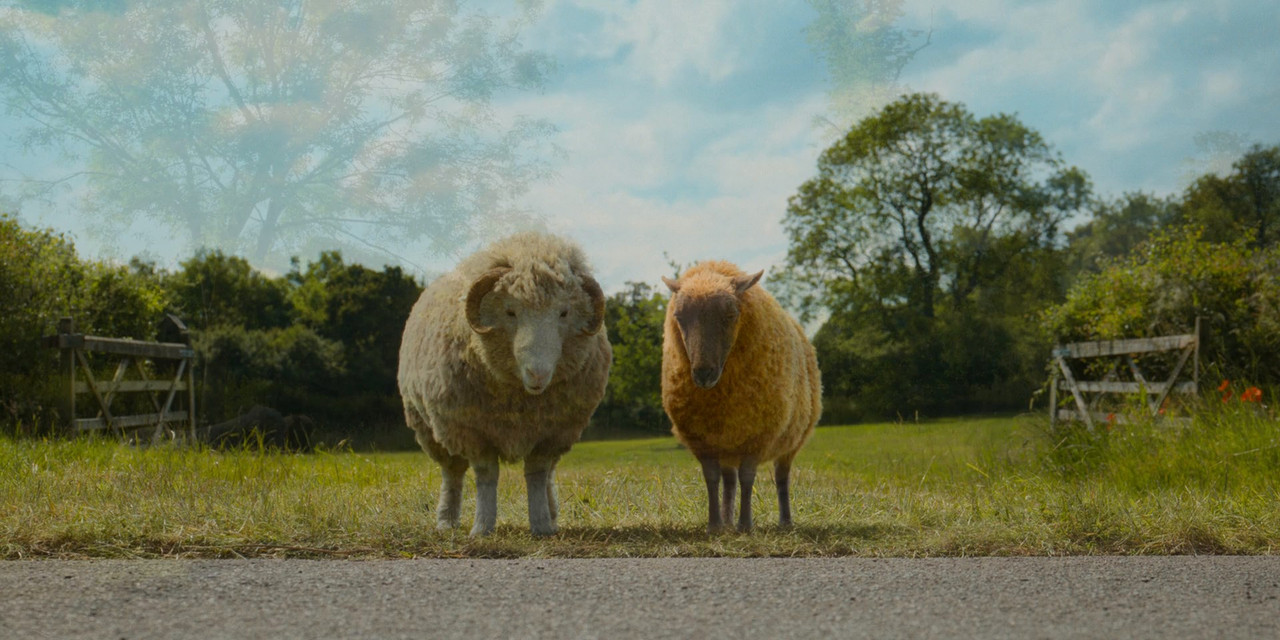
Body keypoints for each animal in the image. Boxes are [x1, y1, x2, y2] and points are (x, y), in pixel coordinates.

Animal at [397, 231, 611, 537]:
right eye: (510, 312)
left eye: (564, 313)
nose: (537, 374)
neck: (520, 401)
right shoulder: (474, 432)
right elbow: (487, 476)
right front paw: (482, 527)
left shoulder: (551, 433)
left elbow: (537, 474)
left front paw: (541, 525)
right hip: (431, 430)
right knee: (452, 474)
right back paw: (447, 520)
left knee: (549, 475)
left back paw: (552, 514)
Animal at [660, 260, 821, 533]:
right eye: (679, 317)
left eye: (730, 316)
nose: (703, 373)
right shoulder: (702, 440)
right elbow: (712, 479)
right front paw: (714, 525)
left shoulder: (757, 435)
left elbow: (748, 478)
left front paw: (746, 525)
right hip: (727, 442)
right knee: (728, 481)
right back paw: (727, 521)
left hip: (791, 440)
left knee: (781, 477)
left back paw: (785, 521)